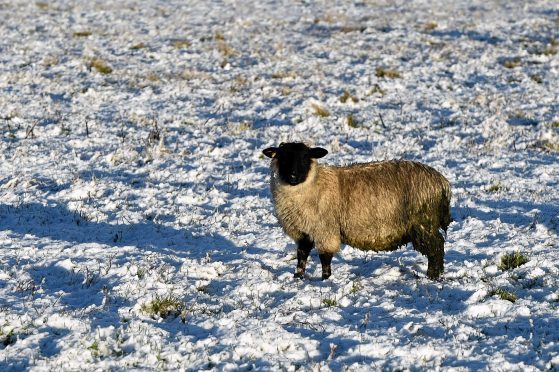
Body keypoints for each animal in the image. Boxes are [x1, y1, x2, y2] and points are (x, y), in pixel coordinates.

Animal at [264, 142, 452, 280]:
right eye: (283, 157)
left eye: (305, 157)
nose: (293, 176)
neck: (314, 184)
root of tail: (442, 182)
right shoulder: (303, 231)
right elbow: (301, 255)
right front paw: (298, 277)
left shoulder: (325, 230)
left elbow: (325, 257)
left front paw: (326, 279)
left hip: (423, 222)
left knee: (436, 247)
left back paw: (433, 276)